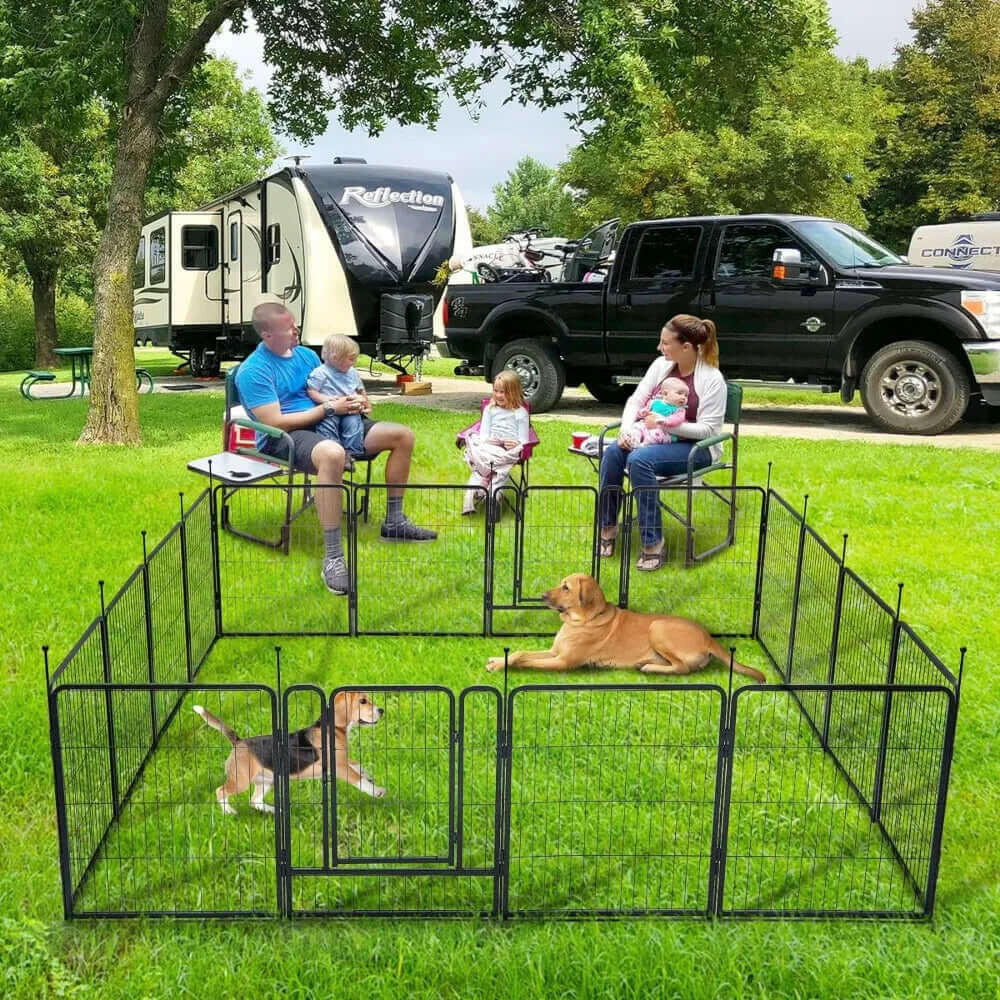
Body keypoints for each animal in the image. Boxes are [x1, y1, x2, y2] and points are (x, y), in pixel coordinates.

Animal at [193, 692, 384, 816]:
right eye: (363, 701)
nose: (381, 710)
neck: (333, 728)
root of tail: (238, 742)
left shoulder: (343, 760)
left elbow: (358, 765)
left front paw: (368, 775)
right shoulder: (339, 766)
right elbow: (358, 780)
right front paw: (376, 791)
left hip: (267, 781)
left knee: (255, 801)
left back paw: (275, 810)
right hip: (241, 780)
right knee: (220, 791)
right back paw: (229, 811)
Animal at [486, 576, 764, 684]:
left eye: (566, 587)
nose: (543, 596)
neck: (584, 619)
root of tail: (709, 638)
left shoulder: (563, 662)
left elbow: (525, 661)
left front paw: (503, 666)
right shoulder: (555, 652)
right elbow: (521, 652)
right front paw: (497, 660)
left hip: (657, 628)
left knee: (682, 668)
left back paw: (650, 668)